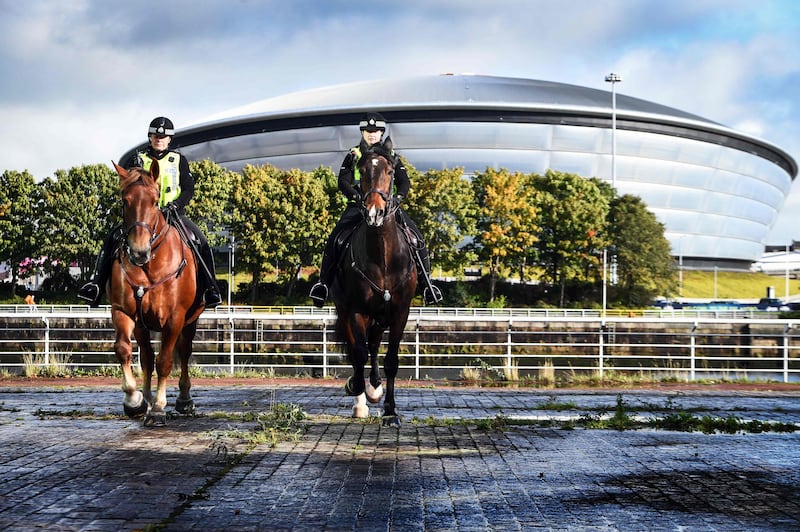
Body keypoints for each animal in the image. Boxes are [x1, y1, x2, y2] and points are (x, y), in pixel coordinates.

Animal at [110, 160, 206, 426]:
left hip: (190, 321)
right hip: (143, 325)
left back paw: (184, 401)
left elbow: (165, 361)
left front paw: (159, 409)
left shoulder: (175, 318)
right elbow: (124, 350)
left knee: (183, 353)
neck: (149, 266)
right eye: (124, 201)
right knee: (146, 356)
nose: (139, 251)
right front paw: (134, 401)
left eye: (154, 201)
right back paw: (146, 398)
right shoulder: (122, 312)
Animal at [332, 138, 418, 428]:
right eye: (362, 170)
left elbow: (390, 360)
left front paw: (390, 411)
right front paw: (357, 388)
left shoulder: (401, 310)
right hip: (348, 310)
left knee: (373, 345)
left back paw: (375, 386)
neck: (383, 255)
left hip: (381, 315)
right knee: (358, 350)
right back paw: (361, 398)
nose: (374, 213)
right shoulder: (356, 310)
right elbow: (357, 354)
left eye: (390, 172)